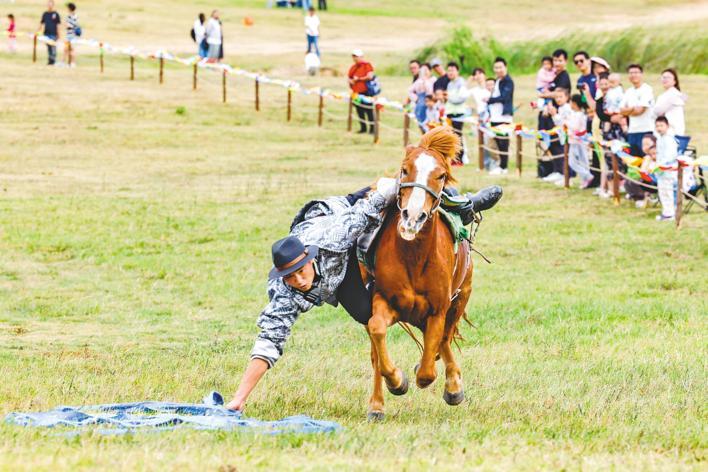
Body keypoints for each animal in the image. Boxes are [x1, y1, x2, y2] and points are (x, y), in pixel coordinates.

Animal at [362, 126, 472, 420]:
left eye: (441, 175)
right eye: (404, 170)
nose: (412, 217)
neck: (414, 256)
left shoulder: (438, 309)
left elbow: (427, 371)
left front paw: (450, 386)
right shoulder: (383, 301)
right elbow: (377, 331)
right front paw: (396, 381)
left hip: (461, 296)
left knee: (443, 340)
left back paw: (453, 385)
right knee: (376, 353)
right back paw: (376, 405)